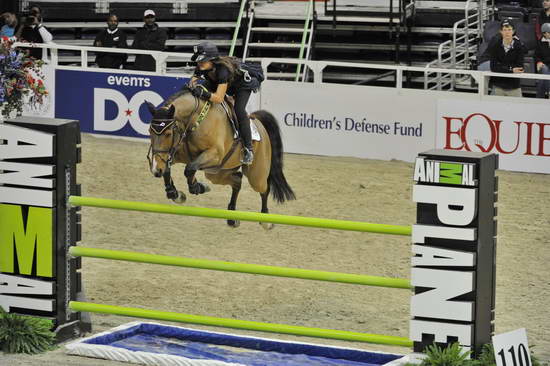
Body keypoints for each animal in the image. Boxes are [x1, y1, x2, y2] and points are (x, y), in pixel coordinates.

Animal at [144, 87, 296, 229]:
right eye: (150, 131)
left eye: (168, 134)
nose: (156, 170)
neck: (195, 121)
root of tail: (258, 122)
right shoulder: (178, 154)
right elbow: (169, 169)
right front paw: (176, 194)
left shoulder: (215, 154)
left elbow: (189, 168)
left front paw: (196, 187)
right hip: (217, 172)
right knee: (237, 181)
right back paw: (232, 217)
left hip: (254, 175)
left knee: (264, 188)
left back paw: (266, 220)